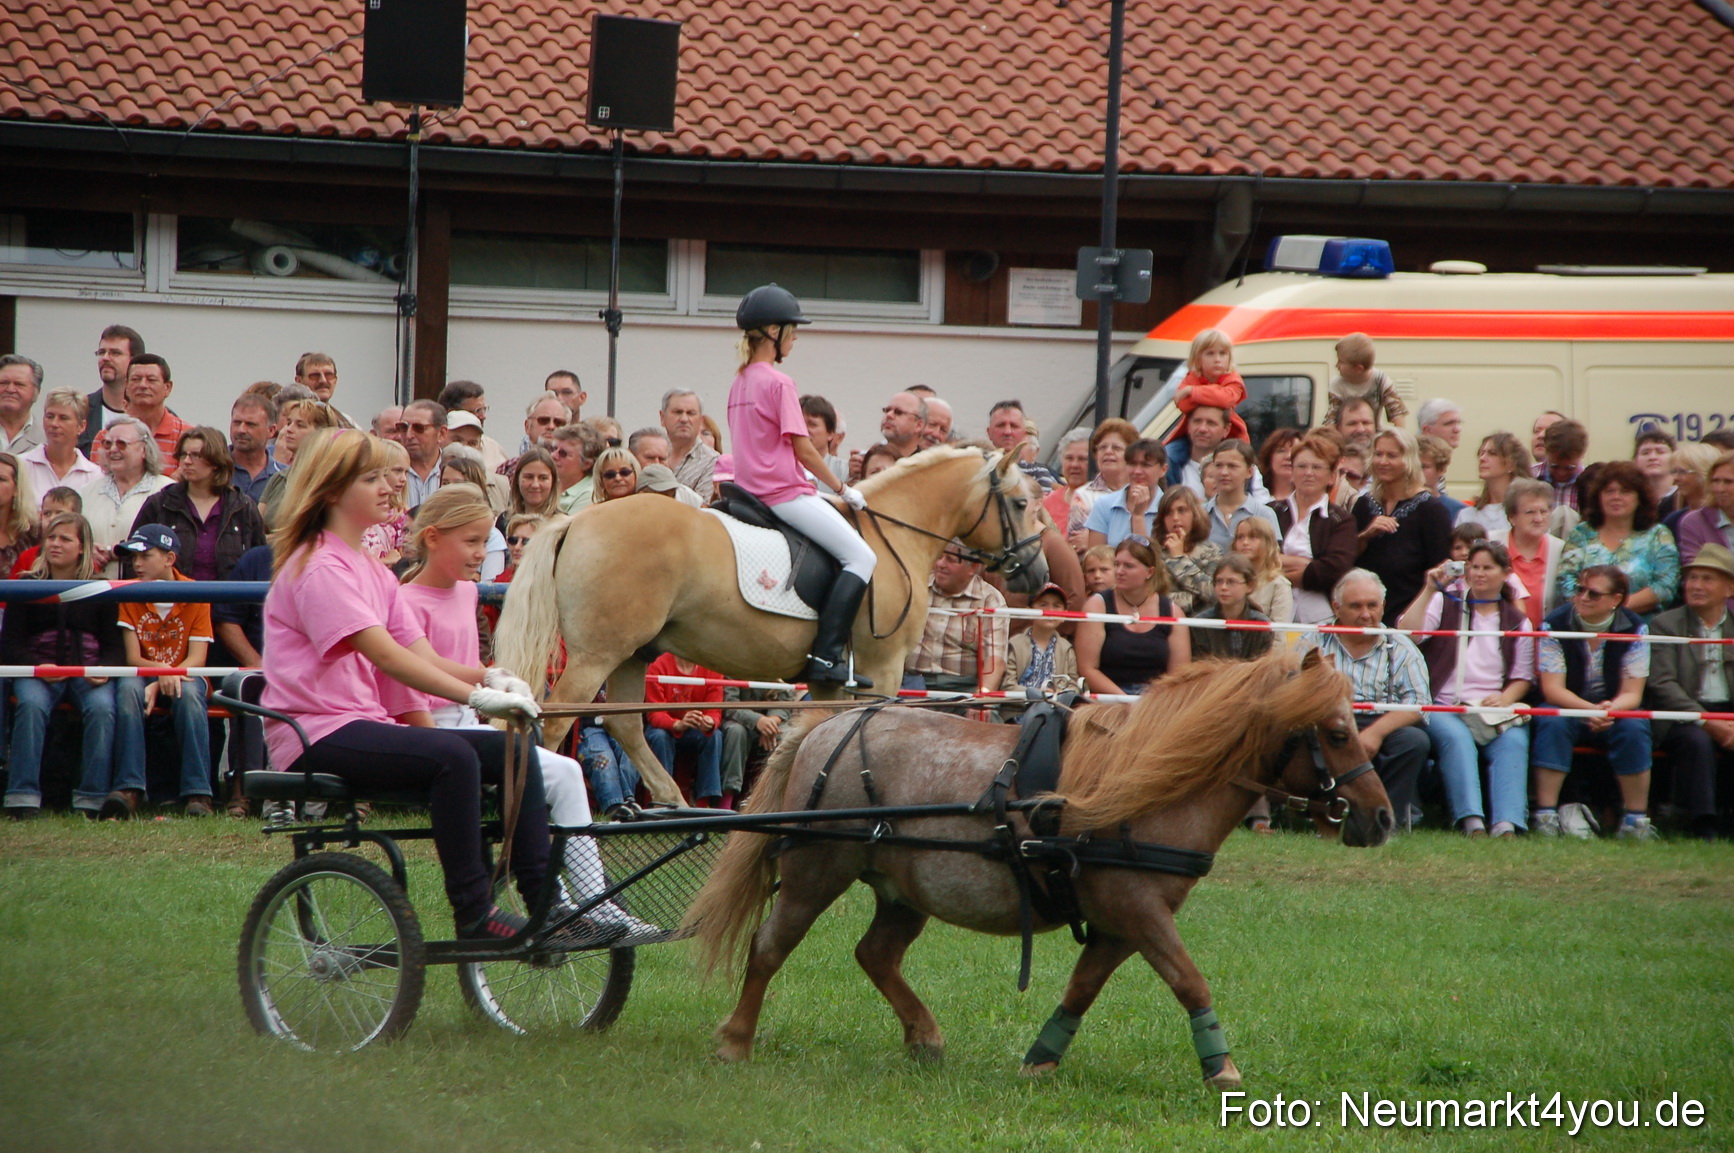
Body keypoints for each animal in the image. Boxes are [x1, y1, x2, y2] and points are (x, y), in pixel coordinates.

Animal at [495, 445, 1050, 805]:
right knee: (556, 723)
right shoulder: (884, 670)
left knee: (625, 723)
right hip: (596, 656)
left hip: (633, 653)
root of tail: (576, 521)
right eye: (1022, 503)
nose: (1038, 572)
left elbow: (810, 740)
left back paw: (676, 806)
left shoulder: (830, 682)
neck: (895, 535)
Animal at [687, 650, 1393, 1085]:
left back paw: (924, 1036)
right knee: (770, 947)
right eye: (1336, 732)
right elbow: (1190, 981)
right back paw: (734, 1040)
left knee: (876, 954)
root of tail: (828, 727)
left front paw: (1040, 1059)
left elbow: (1082, 989)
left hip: (902, 888)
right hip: (817, 872)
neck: (1150, 785)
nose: (1382, 817)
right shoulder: (1140, 912)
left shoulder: (1118, 924)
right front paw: (1221, 1067)